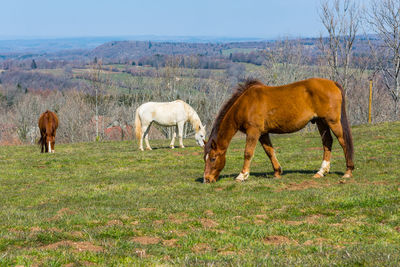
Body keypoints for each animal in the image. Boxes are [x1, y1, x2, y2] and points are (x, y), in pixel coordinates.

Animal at [205, 78, 354, 184]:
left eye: (213, 158)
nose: (207, 179)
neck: (246, 103)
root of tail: (333, 83)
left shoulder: (253, 132)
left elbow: (248, 153)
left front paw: (242, 175)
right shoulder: (263, 133)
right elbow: (270, 151)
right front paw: (277, 172)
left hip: (332, 121)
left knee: (343, 142)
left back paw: (348, 171)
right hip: (321, 121)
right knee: (327, 142)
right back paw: (321, 171)